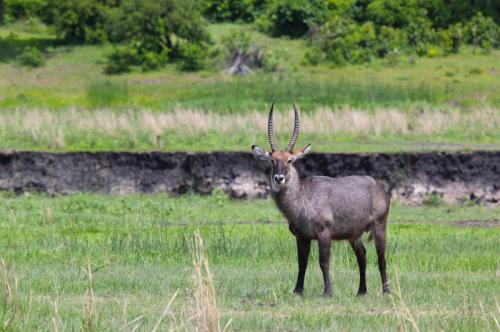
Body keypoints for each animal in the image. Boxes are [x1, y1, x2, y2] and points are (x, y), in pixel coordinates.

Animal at [254, 100, 390, 294]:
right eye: (272, 160)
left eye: (290, 160)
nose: (279, 178)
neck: (303, 196)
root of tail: (379, 187)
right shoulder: (301, 236)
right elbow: (302, 263)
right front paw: (298, 291)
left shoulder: (324, 233)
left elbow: (323, 262)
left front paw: (328, 292)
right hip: (354, 235)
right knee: (362, 256)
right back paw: (361, 291)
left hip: (379, 226)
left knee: (381, 258)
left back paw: (386, 291)